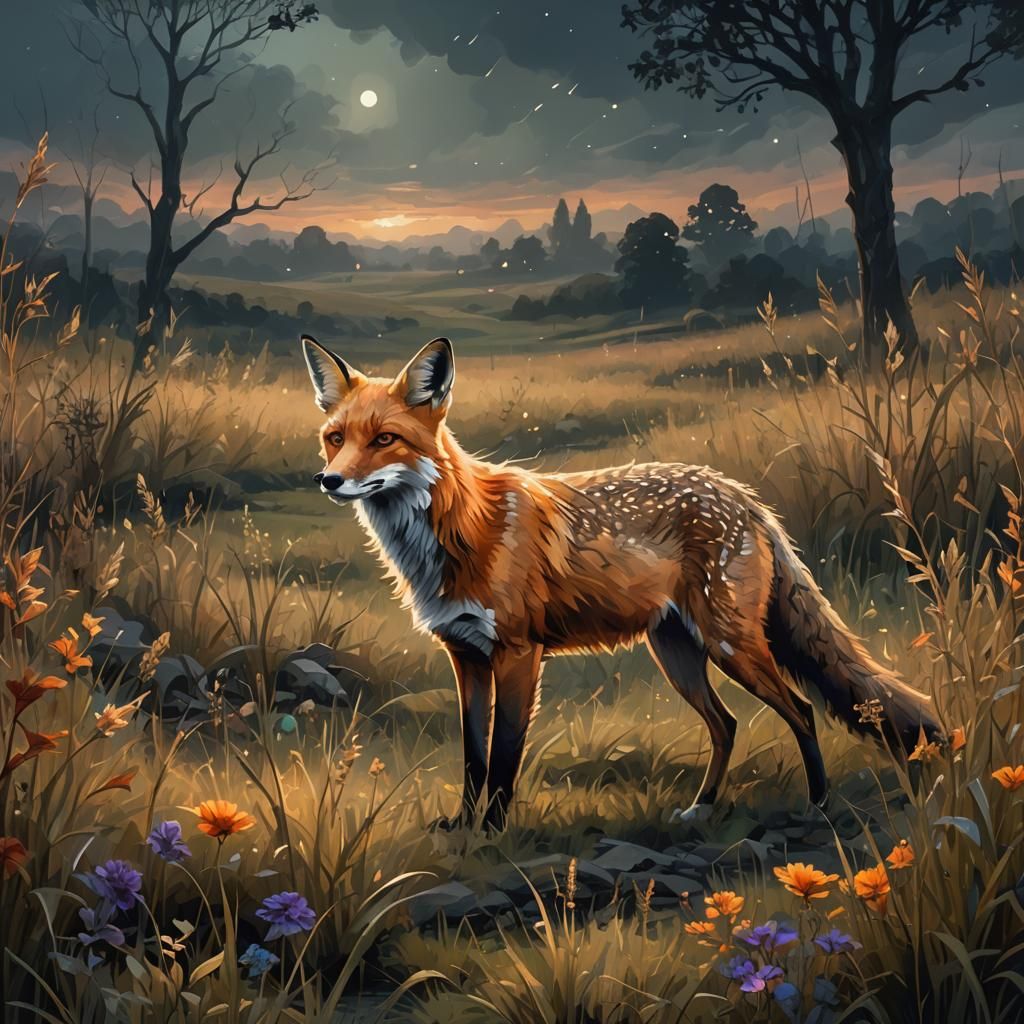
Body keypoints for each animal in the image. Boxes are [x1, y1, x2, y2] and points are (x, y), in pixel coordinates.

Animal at [302, 334, 942, 831]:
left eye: (384, 439)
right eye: (336, 438)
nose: (329, 480)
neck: (462, 531)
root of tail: (745, 497)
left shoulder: (517, 653)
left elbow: (504, 757)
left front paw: (493, 833)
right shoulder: (465, 657)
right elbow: (472, 757)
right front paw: (463, 827)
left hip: (731, 646)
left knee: (803, 710)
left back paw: (818, 803)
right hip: (677, 653)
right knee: (728, 724)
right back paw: (702, 808)